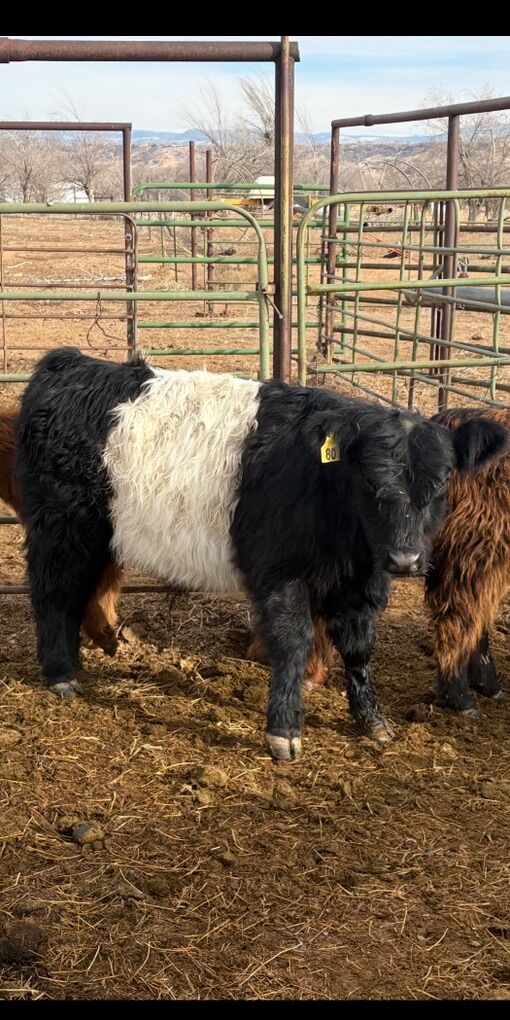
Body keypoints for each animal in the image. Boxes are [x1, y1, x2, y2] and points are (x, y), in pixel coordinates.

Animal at [15, 349, 507, 759]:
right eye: (371, 482)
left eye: (441, 485)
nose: (405, 560)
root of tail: (68, 364)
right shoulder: (279, 572)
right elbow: (293, 642)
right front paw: (284, 732)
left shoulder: (360, 579)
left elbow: (359, 646)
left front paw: (373, 721)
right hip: (60, 529)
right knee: (52, 593)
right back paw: (60, 674)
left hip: (95, 536)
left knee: (78, 593)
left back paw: (76, 663)